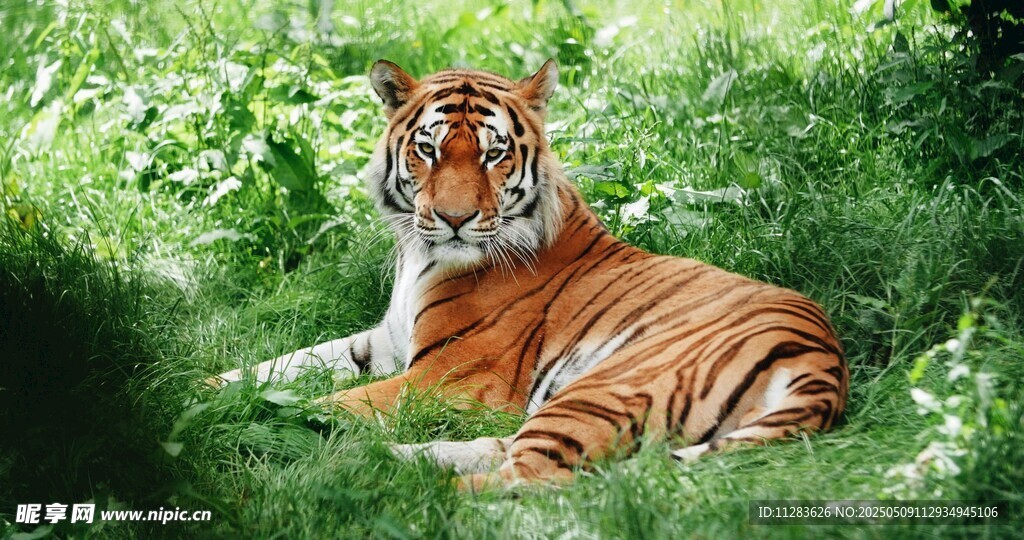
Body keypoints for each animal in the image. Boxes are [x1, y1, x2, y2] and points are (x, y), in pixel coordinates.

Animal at [211, 59, 848, 490]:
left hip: (600, 387)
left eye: (493, 153)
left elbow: (328, 402)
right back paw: (381, 462)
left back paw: (378, 485)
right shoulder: (383, 342)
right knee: (506, 452)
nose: (455, 219)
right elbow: (278, 367)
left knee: (529, 481)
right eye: (428, 150)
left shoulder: (448, 377)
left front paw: (252, 420)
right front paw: (203, 392)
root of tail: (824, 360)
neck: (420, 257)